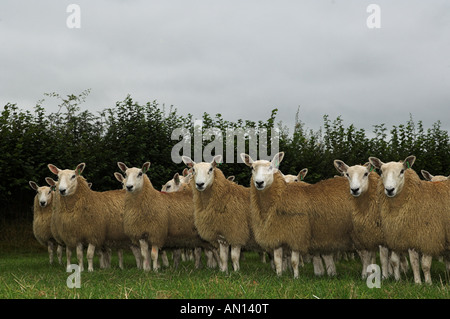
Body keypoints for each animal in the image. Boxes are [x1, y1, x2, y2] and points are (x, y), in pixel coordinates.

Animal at [370, 156, 450, 284]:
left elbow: (425, 264)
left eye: (402, 171)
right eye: (381, 171)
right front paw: (415, 282)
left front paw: (428, 283)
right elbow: (410, 262)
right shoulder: (405, 238)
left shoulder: (428, 237)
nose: (389, 189)